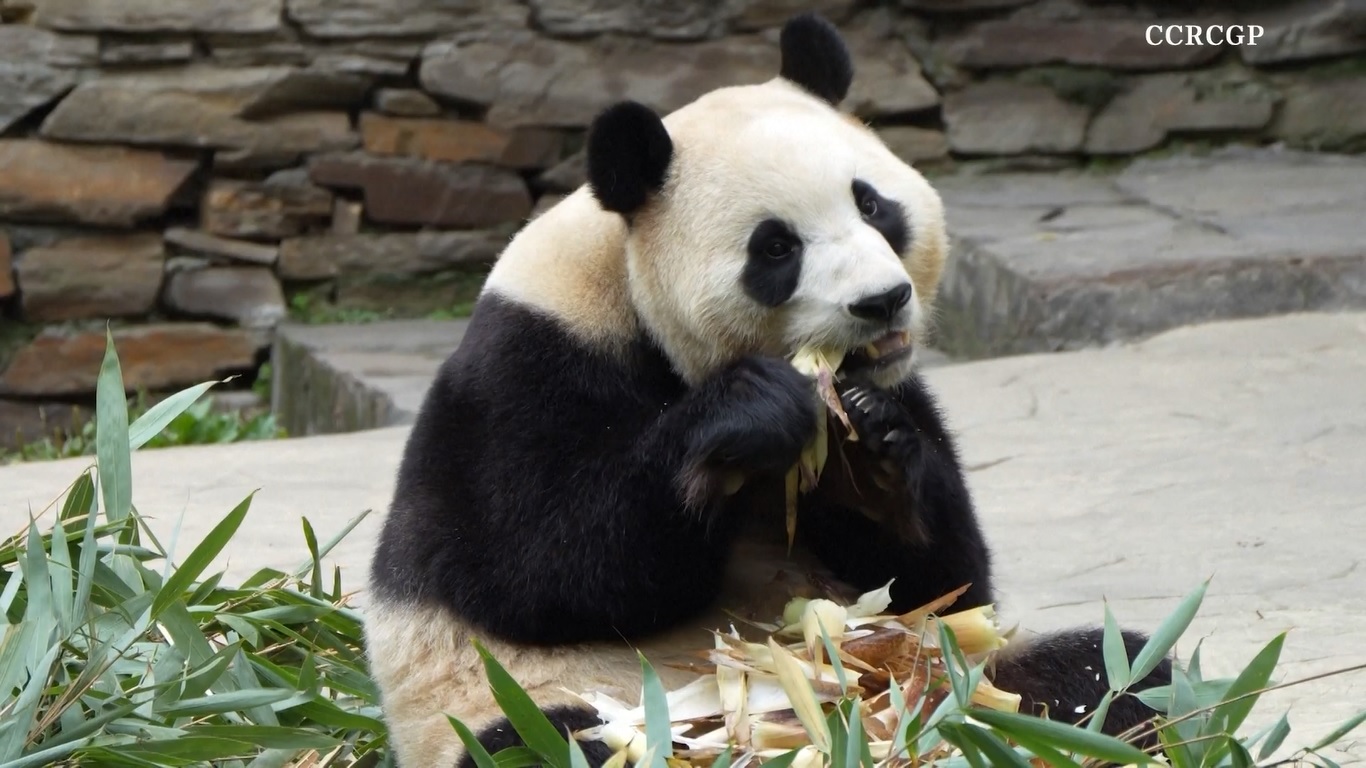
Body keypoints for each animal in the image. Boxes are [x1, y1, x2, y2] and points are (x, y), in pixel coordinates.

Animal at [365, 13, 1171, 768]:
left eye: (872, 205)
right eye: (776, 247)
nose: (883, 302)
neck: (630, 285)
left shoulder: (903, 394)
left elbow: (944, 581)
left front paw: (871, 461)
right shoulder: (527, 363)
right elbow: (535, 568)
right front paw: (748, 416)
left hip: (962, 672)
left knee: (1111, 671)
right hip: (548, 701)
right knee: (551, 743)